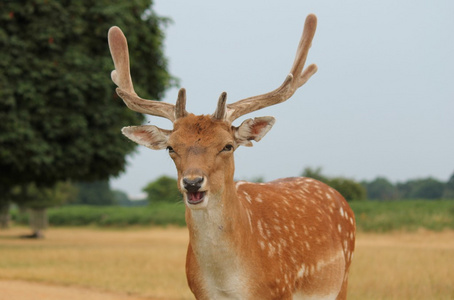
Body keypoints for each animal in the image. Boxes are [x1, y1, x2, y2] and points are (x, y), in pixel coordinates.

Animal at [107, 14, 354, 300]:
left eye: (227, 146)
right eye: (171, 147)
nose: (192, 182)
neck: (229, 283)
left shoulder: (281, 290)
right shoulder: (200, 293)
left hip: (342, 281)